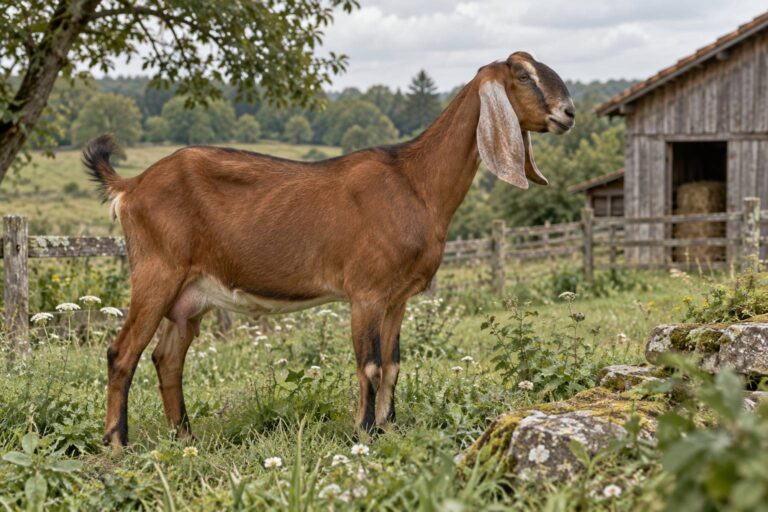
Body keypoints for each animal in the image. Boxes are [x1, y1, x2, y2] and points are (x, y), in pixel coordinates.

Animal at [84, 51, 574, 447]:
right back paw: (117, 442)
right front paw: (365, 433)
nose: (568, 113)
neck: (414, 183)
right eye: (523, 75)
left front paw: (389, 428)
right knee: (121, 353)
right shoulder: (367, 292)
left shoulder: (397, 297)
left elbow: (394, 364)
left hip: (191, 296)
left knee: (167, 358)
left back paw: (185, 438)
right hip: (157, 272)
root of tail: (131, 186)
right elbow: (370, 365)